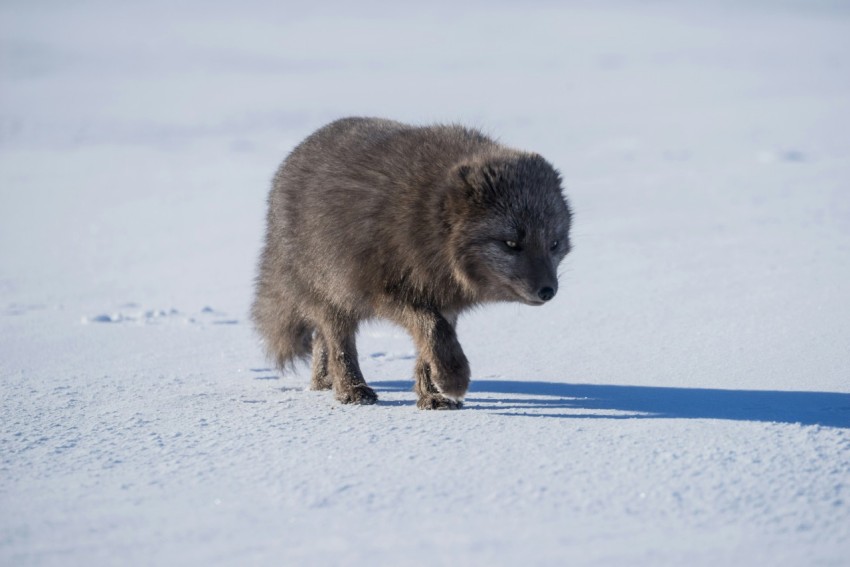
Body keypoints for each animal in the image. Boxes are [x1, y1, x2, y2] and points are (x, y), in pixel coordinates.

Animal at [252, 117, 572, 409]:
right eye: (511, 243)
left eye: (554, 244)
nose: (548, 291)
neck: (429, 220)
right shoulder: (387, 292)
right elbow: (432, 329)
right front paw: (453, 379)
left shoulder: (444, 299)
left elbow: (432, 343)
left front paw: (434, 395)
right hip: (332, 292)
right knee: (338, 342)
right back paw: (352, 390)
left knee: (322, 340)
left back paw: (322, 383)